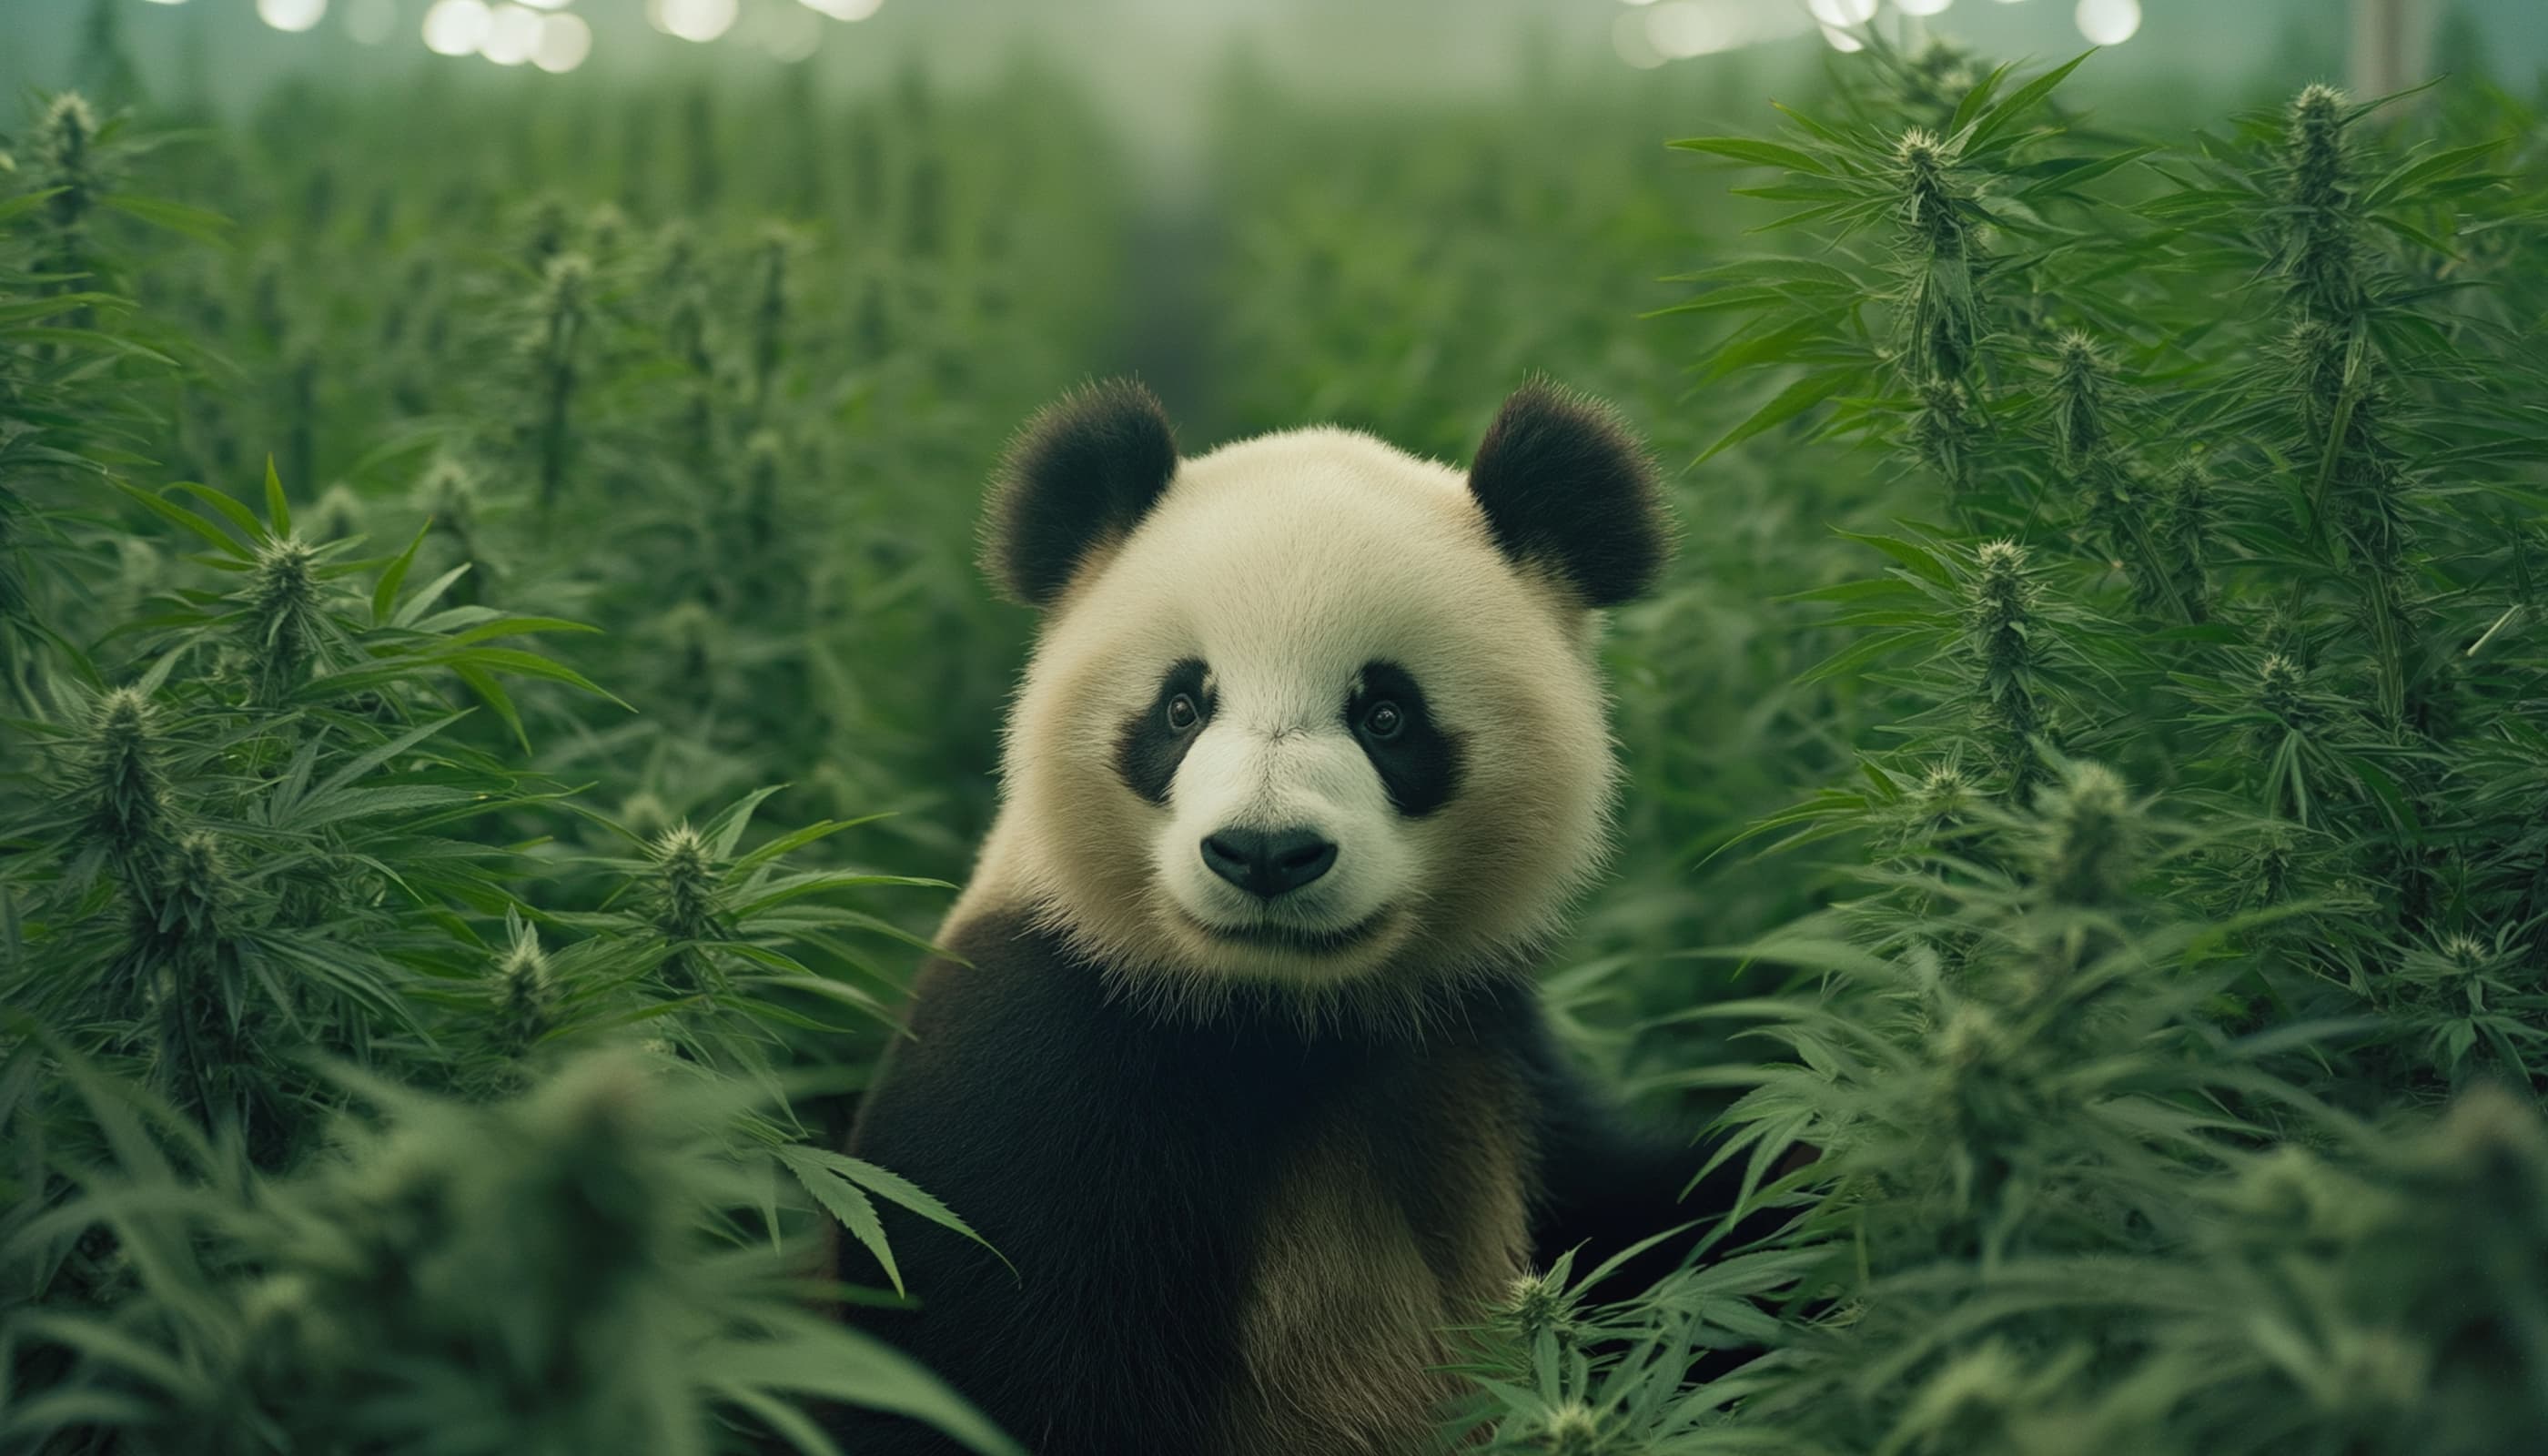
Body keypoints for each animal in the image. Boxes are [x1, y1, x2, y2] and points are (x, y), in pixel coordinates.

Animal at [842, 377, 1731, 1455]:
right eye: (1182, 708)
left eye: (1386, 715)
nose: (1265, 854)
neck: (1282, 1013)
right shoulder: (1038, 1069)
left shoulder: (1483, 1049)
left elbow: (1668, 1229)